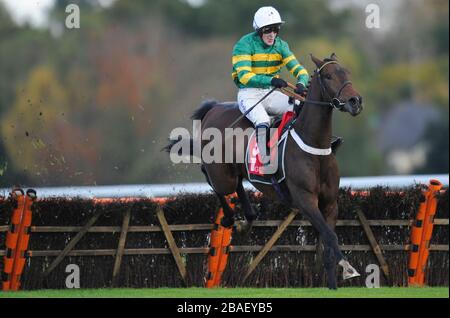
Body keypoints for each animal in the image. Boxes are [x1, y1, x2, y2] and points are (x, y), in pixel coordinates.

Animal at [165, 52, 362, 288]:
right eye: (329, 76)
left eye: (347, 73)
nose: (355, 101)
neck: (314, 145)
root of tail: (213, 108)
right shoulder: (305, 200)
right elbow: (330, 237)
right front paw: (348, 267)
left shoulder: (330, 203)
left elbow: (328, 243)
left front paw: (333, 284)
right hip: (220, 172)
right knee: (215, 180)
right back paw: (230, 218)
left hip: (236, 170)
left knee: (238, 183)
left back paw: (247, 218)